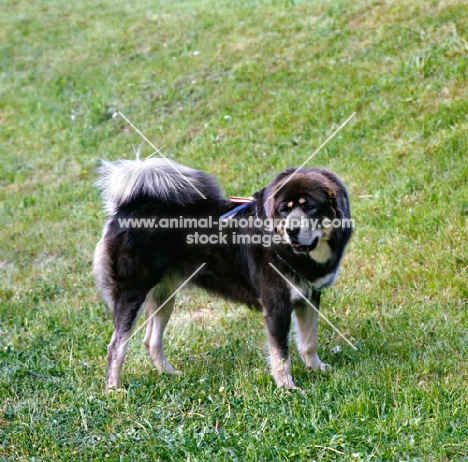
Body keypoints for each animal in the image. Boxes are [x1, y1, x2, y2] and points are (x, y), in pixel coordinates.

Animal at [94, 158, 352, 390]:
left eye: (309, 207)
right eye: (284, 210)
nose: (292, 230)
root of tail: (125, 210)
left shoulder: (309, 296)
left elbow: (309, 340)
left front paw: (316, 368)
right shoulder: (277, 304)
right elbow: (281, 354)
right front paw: (286, 387)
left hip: (164, 295)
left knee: (151, 341)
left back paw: (169, 374)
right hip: (132, 293)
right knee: (116, 346)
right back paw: (114, 389)